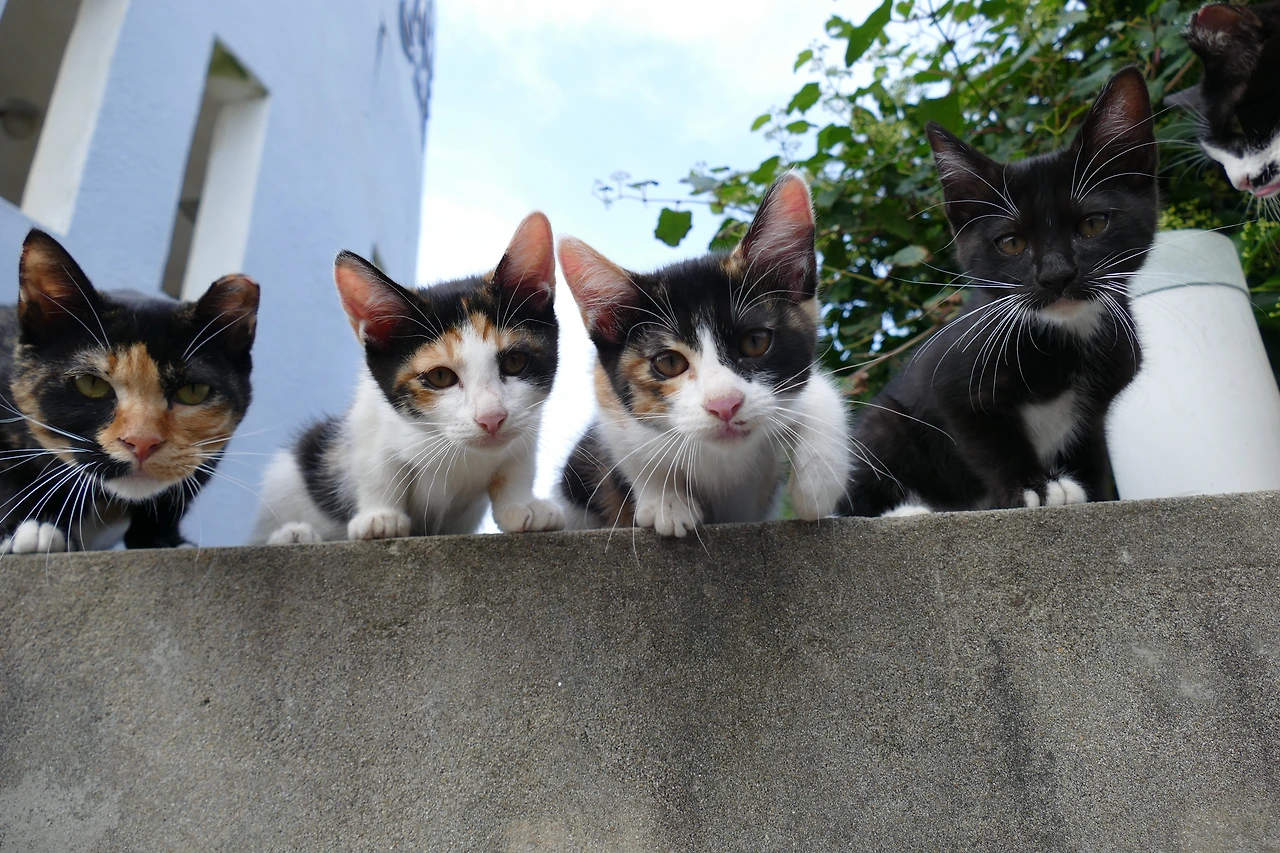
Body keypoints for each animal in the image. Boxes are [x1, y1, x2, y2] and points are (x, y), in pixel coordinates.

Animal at [251, 212, 564, 545]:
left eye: (515, 362)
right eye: (440, 376)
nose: (491, 418)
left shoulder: (528, 419)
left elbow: (517, 465)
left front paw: (520, 505)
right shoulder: (370, 411)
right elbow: (376, 465)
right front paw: (380, 516)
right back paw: (292, 534)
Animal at [556, 172, 852, 538]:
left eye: (755, 341)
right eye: (669, 362)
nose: (724, 404)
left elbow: (818, 393)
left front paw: (817, 484)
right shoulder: (605, 392)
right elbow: (626, 442)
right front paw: (665, 499)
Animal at [841, 66, 1157, 517]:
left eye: (1093, 224)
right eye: (1011, 244)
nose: (1056, 275)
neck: (1065, 337)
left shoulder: (1099, 404)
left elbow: (1090, 450)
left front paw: (1088, 491)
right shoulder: (953, 380)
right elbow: (989, 441)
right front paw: (1034, 488)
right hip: (883, 423)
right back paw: (909, 510)